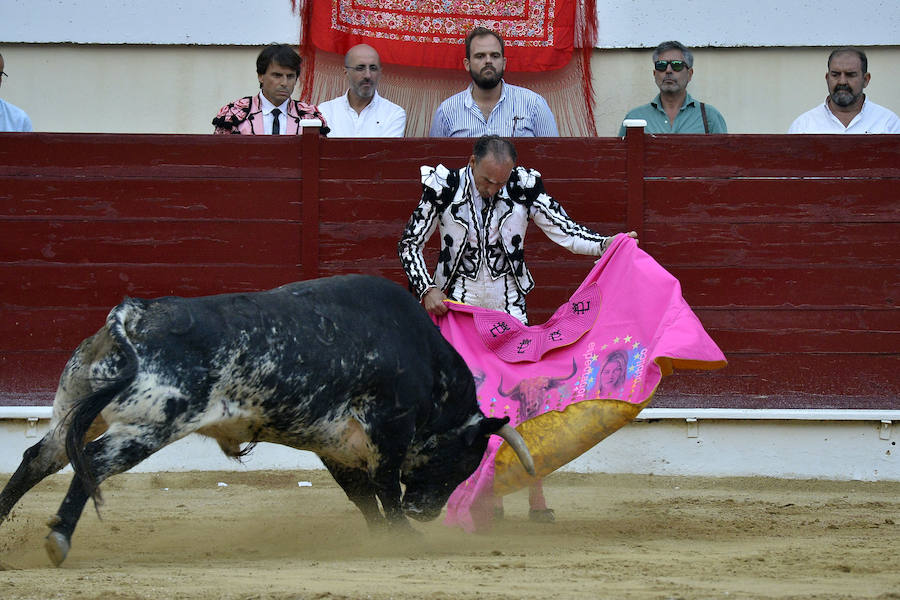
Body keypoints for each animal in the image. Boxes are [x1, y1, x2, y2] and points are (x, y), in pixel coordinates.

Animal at [0, 276, 536, 568]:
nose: (427, 512)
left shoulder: (335, 446)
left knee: (39, 457)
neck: (426, 359)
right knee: (90, 462)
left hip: (75, 410)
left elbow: (363, 497)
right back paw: (58, 539)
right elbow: (383, 486)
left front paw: (385, 536)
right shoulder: (388, 429)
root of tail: (133, 315)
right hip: (150, 426)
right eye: (464, 460)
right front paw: (405, 535)